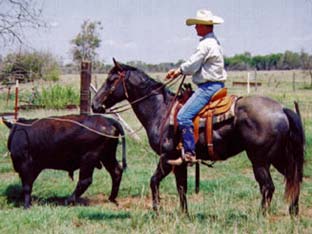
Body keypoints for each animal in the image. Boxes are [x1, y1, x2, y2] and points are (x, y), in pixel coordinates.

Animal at [91, 60, 304, 216]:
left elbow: (154, 181)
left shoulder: (167, 158)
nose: (95, 105)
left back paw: (261, 215)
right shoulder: (180, 162)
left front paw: (157, 209)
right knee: (293, 179)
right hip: (278, 157)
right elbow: (181, 188)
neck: (161, 111)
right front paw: (184, 214)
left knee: (268, 187)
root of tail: (281, 109)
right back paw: (293, 212)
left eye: (111, 80)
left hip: (259, 160)